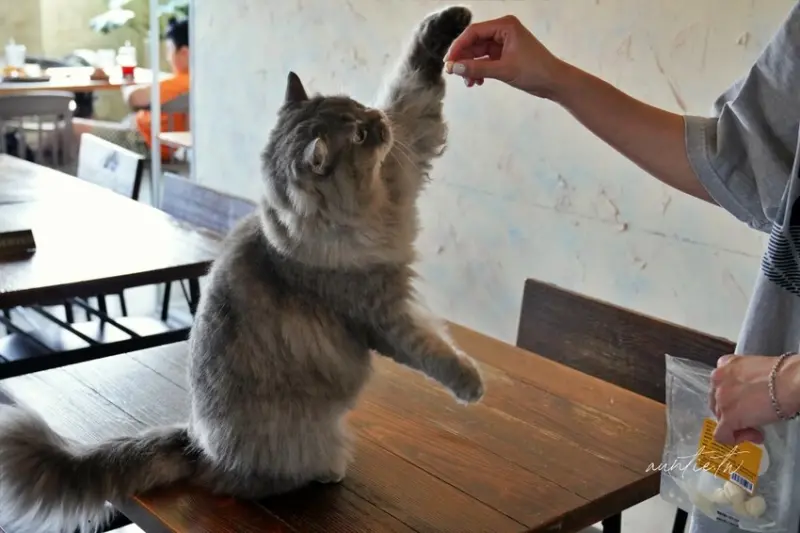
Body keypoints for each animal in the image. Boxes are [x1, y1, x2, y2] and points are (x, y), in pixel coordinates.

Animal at [0, 5, 483, 533]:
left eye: (358, 108)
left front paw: (453, 22)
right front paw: (471, 385)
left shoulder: (404, 155)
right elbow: (431, 349)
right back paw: (329, 470)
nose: (375, 121)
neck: (369, 206)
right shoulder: (379, 311)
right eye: (357, 136)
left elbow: (413, 88)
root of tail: (198, 445)